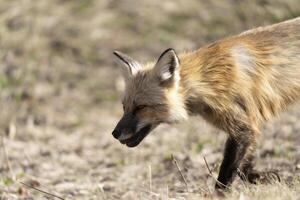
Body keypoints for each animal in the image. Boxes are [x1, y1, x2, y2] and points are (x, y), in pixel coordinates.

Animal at [110, 17, 300, 189]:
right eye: (124, 107)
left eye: (141, 107)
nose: (114, 133)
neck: (209, 82)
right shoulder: (248, 126)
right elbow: (244, 167)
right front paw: (262, 178)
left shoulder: (242, 128)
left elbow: (226, 175)